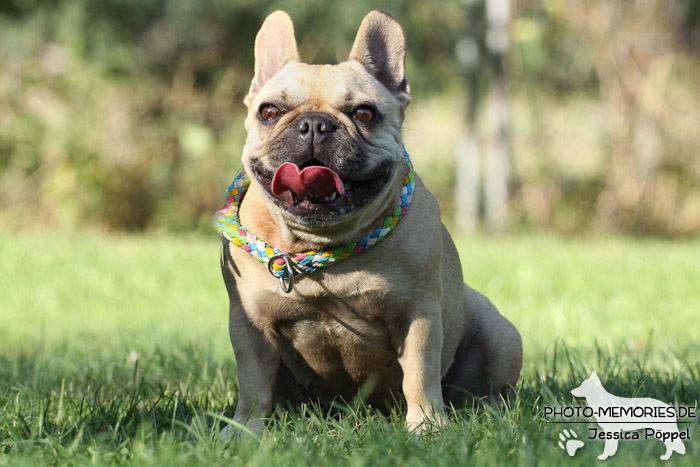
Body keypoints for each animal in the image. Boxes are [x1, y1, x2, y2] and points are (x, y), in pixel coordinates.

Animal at [216, 9, 524, 436]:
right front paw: (245, 430)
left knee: (489, 386)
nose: (314, 124)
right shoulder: (250, 325)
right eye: (269, 112)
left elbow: (419, 375)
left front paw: (426, 426)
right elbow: (253, 383)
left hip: (499, 333)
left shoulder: (418, 315)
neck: (322, 246)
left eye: (364, 113)